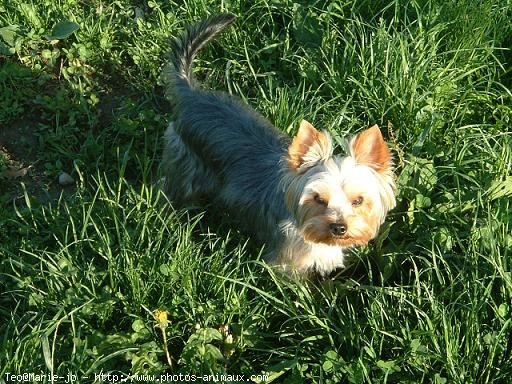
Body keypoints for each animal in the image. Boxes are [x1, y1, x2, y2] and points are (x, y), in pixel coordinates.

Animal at [160, 13, 396, 274]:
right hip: (184, 164)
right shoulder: (287, 264)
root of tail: (191, 94)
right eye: (318, 199)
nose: (339, 227)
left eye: (358, 201)